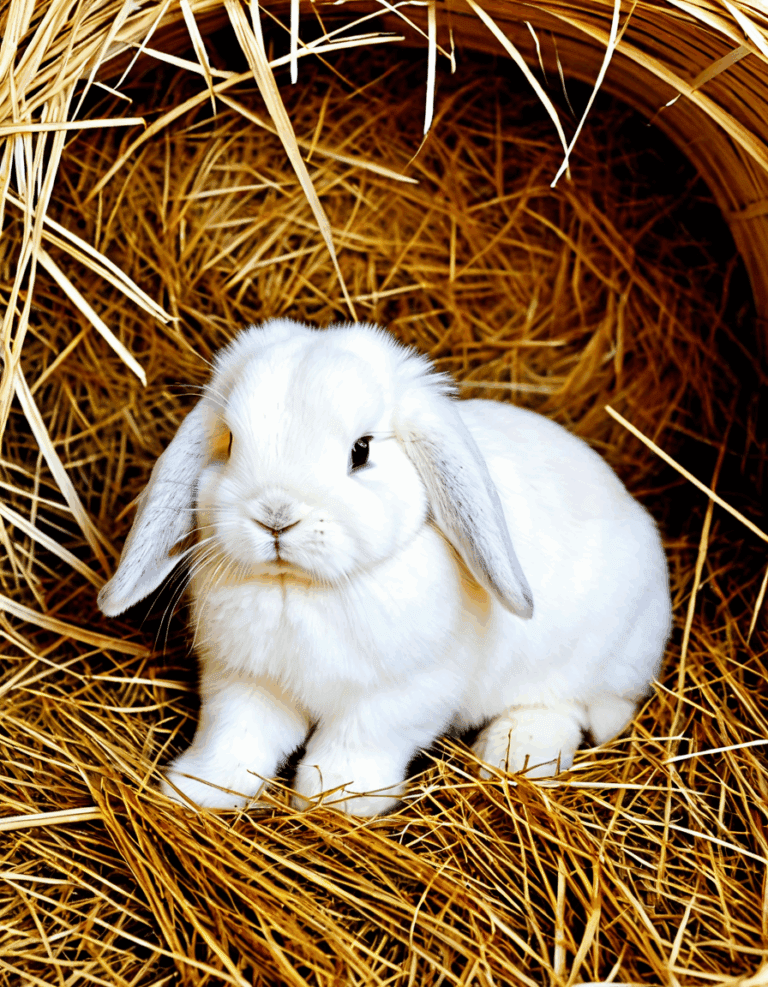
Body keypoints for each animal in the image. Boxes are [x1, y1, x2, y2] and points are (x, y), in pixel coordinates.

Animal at [98, 318, 672, 815]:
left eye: (361, 450)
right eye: (232, 442)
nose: (276, 516)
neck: (301, 589)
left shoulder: (401, 695)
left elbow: (354, 743)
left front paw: (335, 801)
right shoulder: (245, 684)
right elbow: (234, 739)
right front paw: (197, 791)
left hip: (587, 661)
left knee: (567, 708)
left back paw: (511, 752)